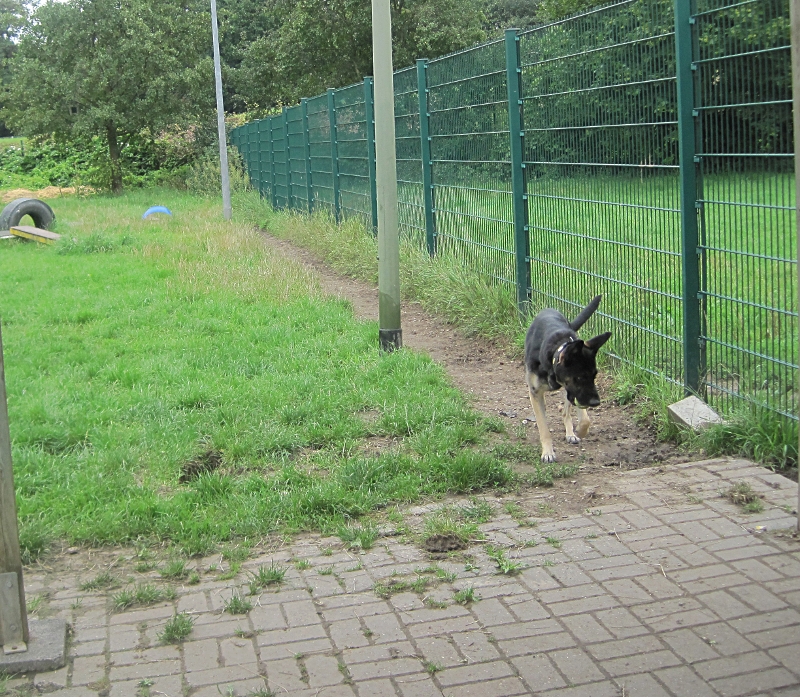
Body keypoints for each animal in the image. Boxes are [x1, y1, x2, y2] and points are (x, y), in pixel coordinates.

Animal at [524, 294, 612, 462]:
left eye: (594, 376)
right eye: (579, 377)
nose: (596, 402)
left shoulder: (577, 394)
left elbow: (585, 419)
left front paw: (580, 431)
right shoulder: (535, 393)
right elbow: (544, 428)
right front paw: (548, 452)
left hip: (569, 392)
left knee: (566, 411)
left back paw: (570, 433)